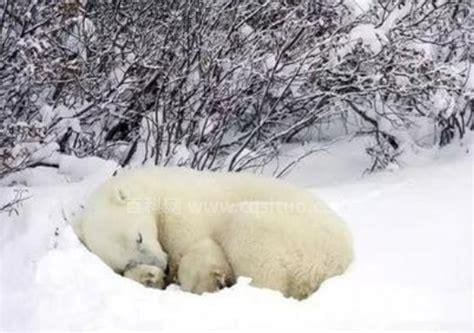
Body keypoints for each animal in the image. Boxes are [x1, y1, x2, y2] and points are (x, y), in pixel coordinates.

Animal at [76, 166, 354, 298]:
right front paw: (149, 276)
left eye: (139, 237)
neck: (155, 189)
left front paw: (208, 280)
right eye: (127, 260)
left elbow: (199, 249)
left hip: (287, 231)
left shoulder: (183, 212)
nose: (163, 265)